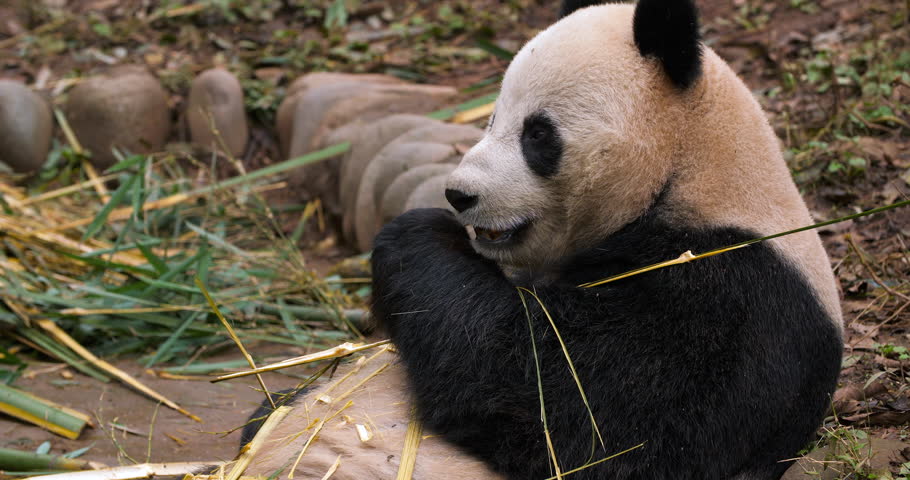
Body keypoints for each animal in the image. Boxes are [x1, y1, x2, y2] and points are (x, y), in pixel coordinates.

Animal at [239, 1, 844, 479]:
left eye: (537, 134)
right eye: (491, 119)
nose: (459, 194)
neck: (689, 169)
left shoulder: (730, 297)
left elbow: (572, 410)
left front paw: (418, 232)